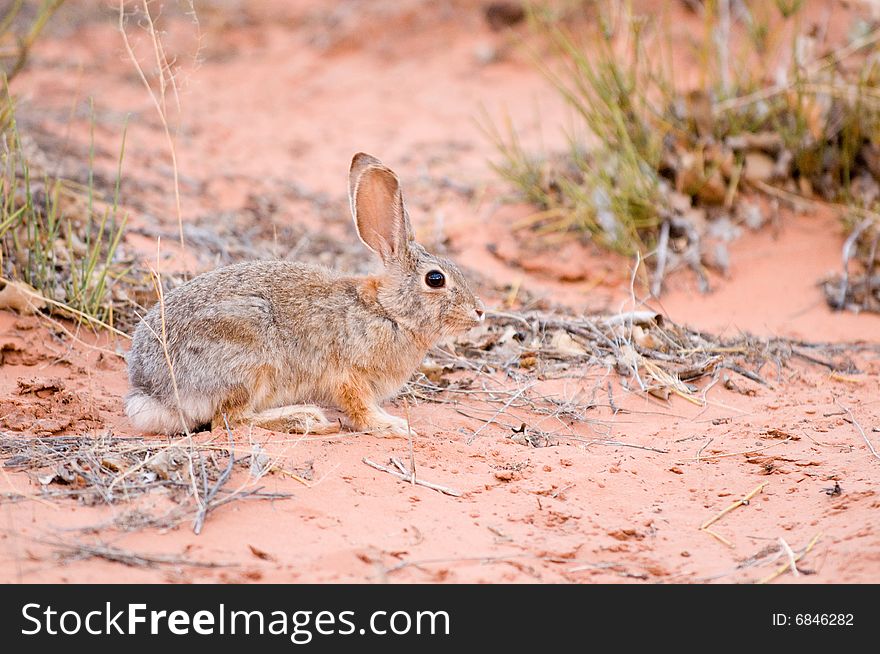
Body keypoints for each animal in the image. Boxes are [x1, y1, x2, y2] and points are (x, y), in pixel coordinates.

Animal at [124, 154, 484, 438]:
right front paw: (392, 426)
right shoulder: (349, 375)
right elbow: (360, 407)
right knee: (230, 419)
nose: (479, 312)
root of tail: (152, 392)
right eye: (435, 279)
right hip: (250, 361)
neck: (388, 311)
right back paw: (305, 418)